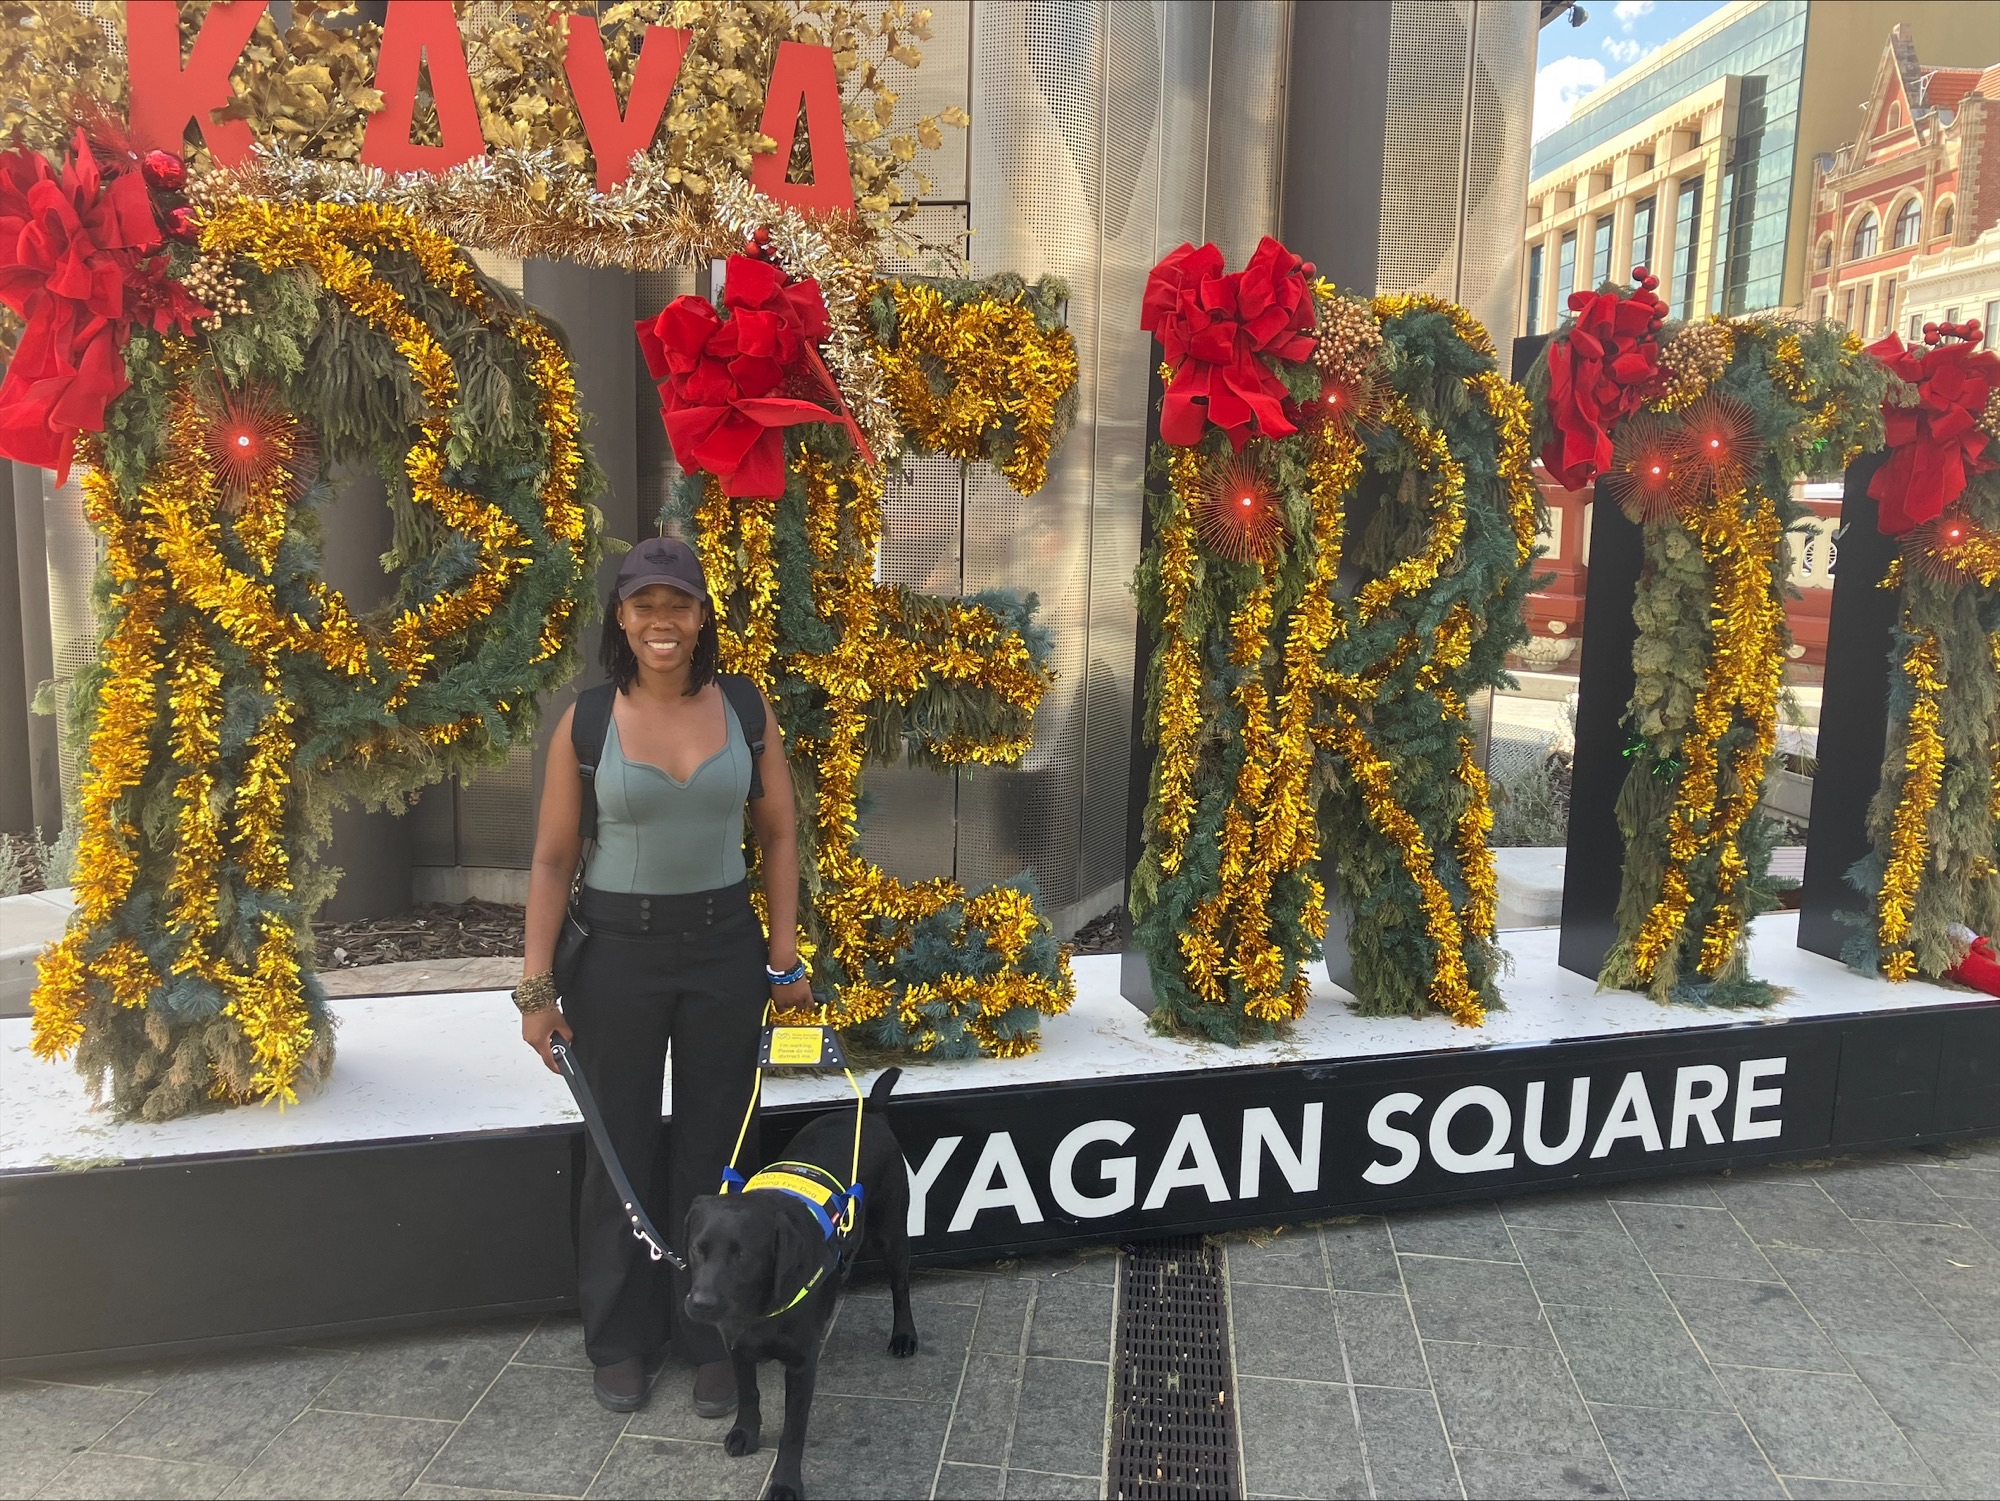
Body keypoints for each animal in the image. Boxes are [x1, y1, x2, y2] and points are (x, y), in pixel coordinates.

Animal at [680, 1072, 916, 1501]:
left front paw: (786, 1483)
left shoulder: (801, 1366)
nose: (701, 1304)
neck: (759, 1308)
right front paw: (746, 1432)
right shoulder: (737, 1346)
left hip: (892, 1232)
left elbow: (793, 1432)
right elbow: (749, 1394)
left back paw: (904, 1335)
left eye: (743, 1255)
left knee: (901, 1286)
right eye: (697, 1249)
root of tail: (871, 1112)